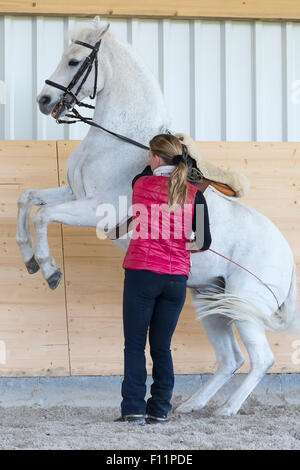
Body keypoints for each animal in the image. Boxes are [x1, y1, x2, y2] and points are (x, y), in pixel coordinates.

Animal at [15, 16, 298, 416]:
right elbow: (27, 201)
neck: (120, 141)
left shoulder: (96, 210)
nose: (44, 100)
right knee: (231, 359)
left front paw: (51, 271)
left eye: (73, 61)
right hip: (212, 303)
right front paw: (29, 260)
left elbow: (43, 216)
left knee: (261, 360)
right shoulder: (75, 195)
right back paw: (191, 406)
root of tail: (287, 261)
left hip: (244, 308)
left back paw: (227, 410)